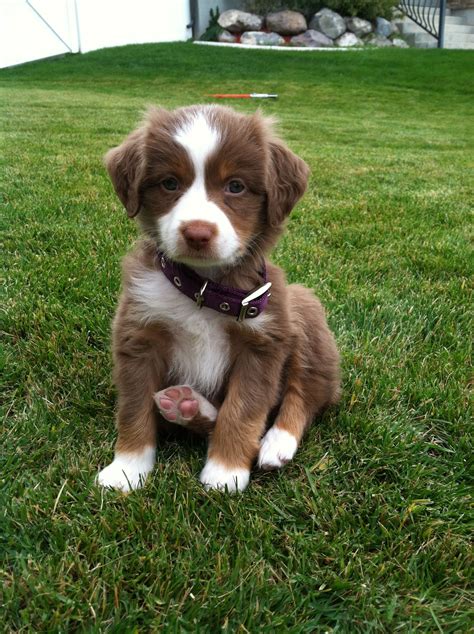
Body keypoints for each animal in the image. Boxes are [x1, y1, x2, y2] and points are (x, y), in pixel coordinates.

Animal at [97, 103, 340, 492]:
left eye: (236, 186)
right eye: (169, 183)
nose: (197, 233)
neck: (204, 289)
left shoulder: (262, 343)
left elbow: (242, 410)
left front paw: (225, 473)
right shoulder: (138, 333)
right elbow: (134, 407)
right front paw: (126, 469)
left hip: (303, 311)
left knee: (306, 392)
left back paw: (276, 443)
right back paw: (188, 406)